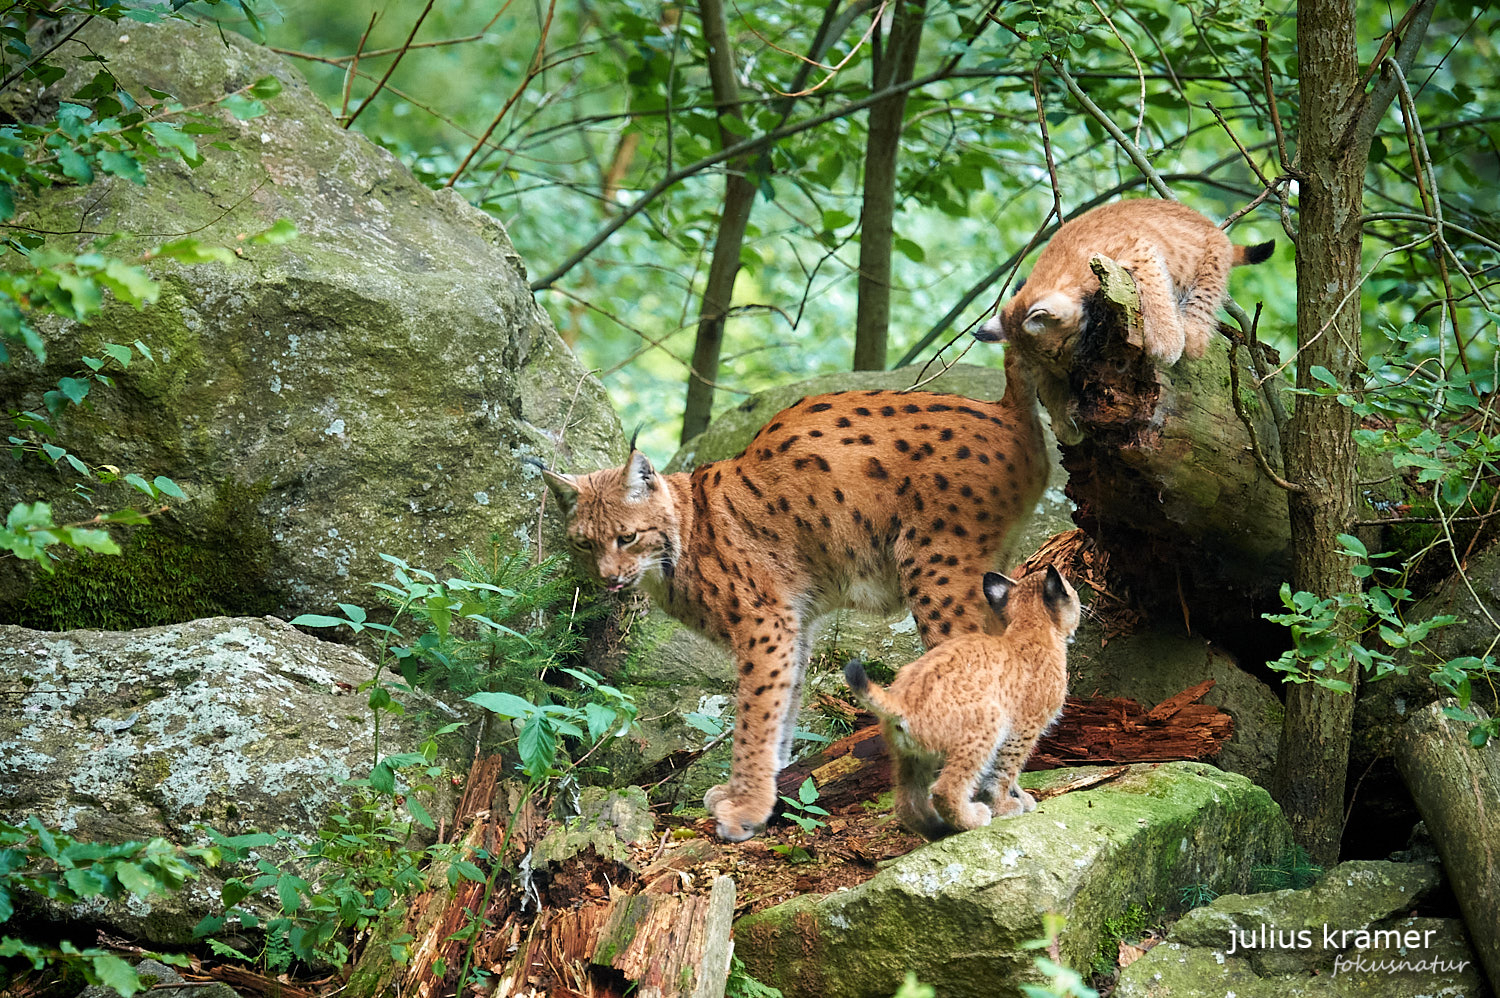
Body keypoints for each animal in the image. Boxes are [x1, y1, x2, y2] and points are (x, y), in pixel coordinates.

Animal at [846, 564, 1080, 834]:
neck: (1029, 624)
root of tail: (903, 700)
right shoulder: (1023, 727)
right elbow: (1005, 769)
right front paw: (1003, 805)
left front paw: (1019, 797)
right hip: (986, 725)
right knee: (944, 788)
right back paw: (971, 819)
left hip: (909, 755)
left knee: (906, 802)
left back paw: (937, 829)